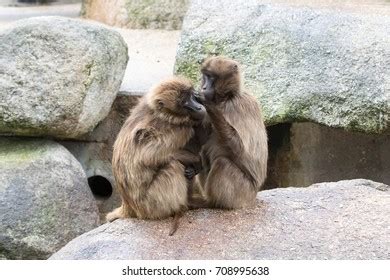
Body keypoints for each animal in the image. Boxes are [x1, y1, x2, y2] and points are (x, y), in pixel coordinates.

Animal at [103, 76, 207, 234]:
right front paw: (194, 160)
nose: (198, 107)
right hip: (150, 204)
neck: (163, 114)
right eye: (184, 102)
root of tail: (128, 207)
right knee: (172, 165)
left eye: (190, 95)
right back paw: (182, 207)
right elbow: (148, 156)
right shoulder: (176, 128)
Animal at [195, 55, 268, 209]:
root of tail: (253, 196)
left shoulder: (240, 106)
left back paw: (211, 202)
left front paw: (210, 105)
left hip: (243, 192)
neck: (227, 97)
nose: (204, 87)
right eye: (205, 76)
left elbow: (240, 149)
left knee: (222, 163)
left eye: (211, 77)